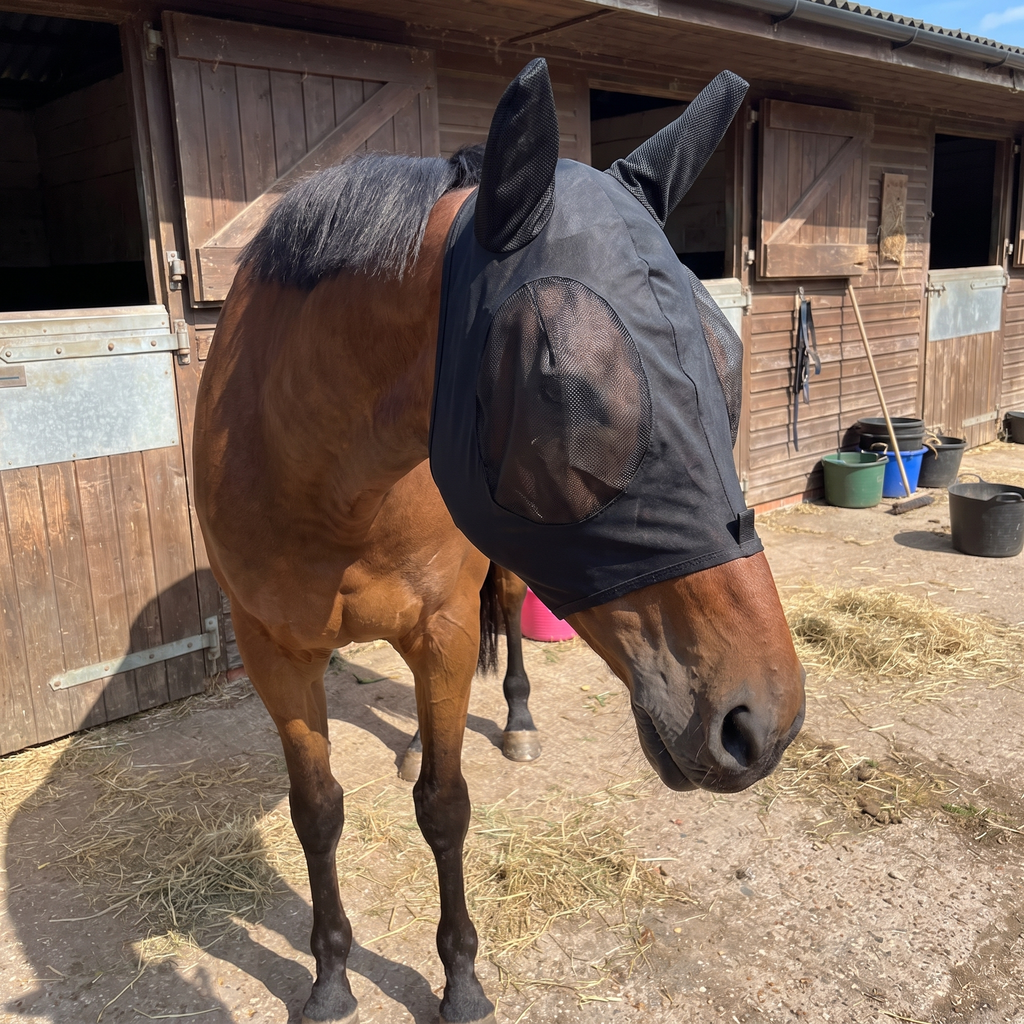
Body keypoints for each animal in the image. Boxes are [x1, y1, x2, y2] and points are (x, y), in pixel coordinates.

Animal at [194, 60, 805, 1024]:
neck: (321, 469)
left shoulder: (443, 629)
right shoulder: (274, 653)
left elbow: (444, 808)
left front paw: (461, 980)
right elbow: (317, 811)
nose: (764, 722)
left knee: (511, 618)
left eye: (728, 359)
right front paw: (329, 975)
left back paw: (516, 721)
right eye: (565, 389)